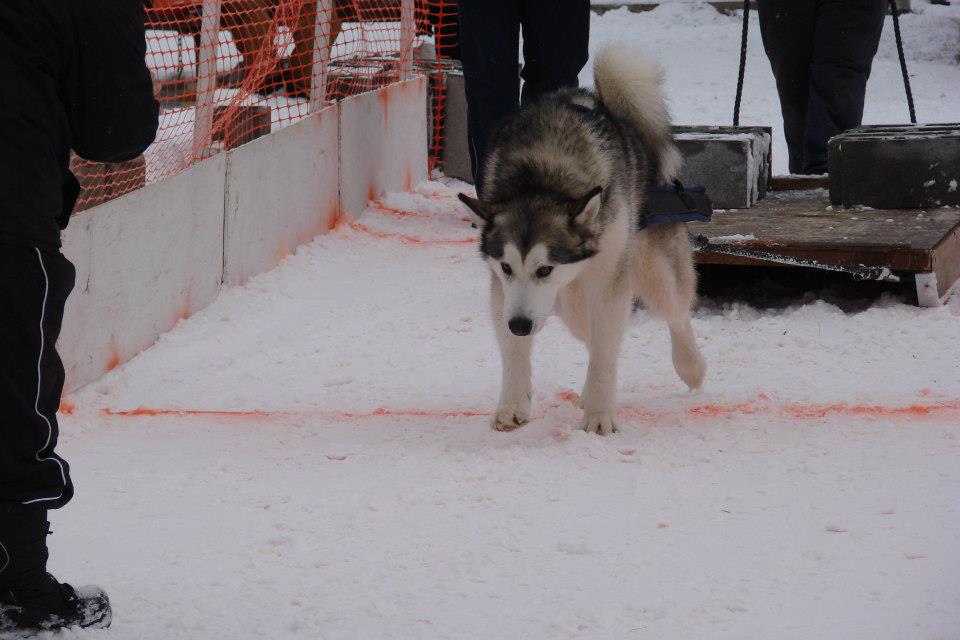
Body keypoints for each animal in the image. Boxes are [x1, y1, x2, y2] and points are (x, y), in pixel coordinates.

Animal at [458, 46, 704, 436]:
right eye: (507, 266)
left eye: (544, 269)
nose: (521, 325)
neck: (543, 178)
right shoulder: (504, 290)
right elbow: (515, 351)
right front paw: (513, 404)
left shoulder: (608, 280)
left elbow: (604, 352)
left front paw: (600, 415)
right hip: (568, 302)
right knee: (584, 325)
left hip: (653, 269)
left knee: (675, 312)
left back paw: (690, 365)